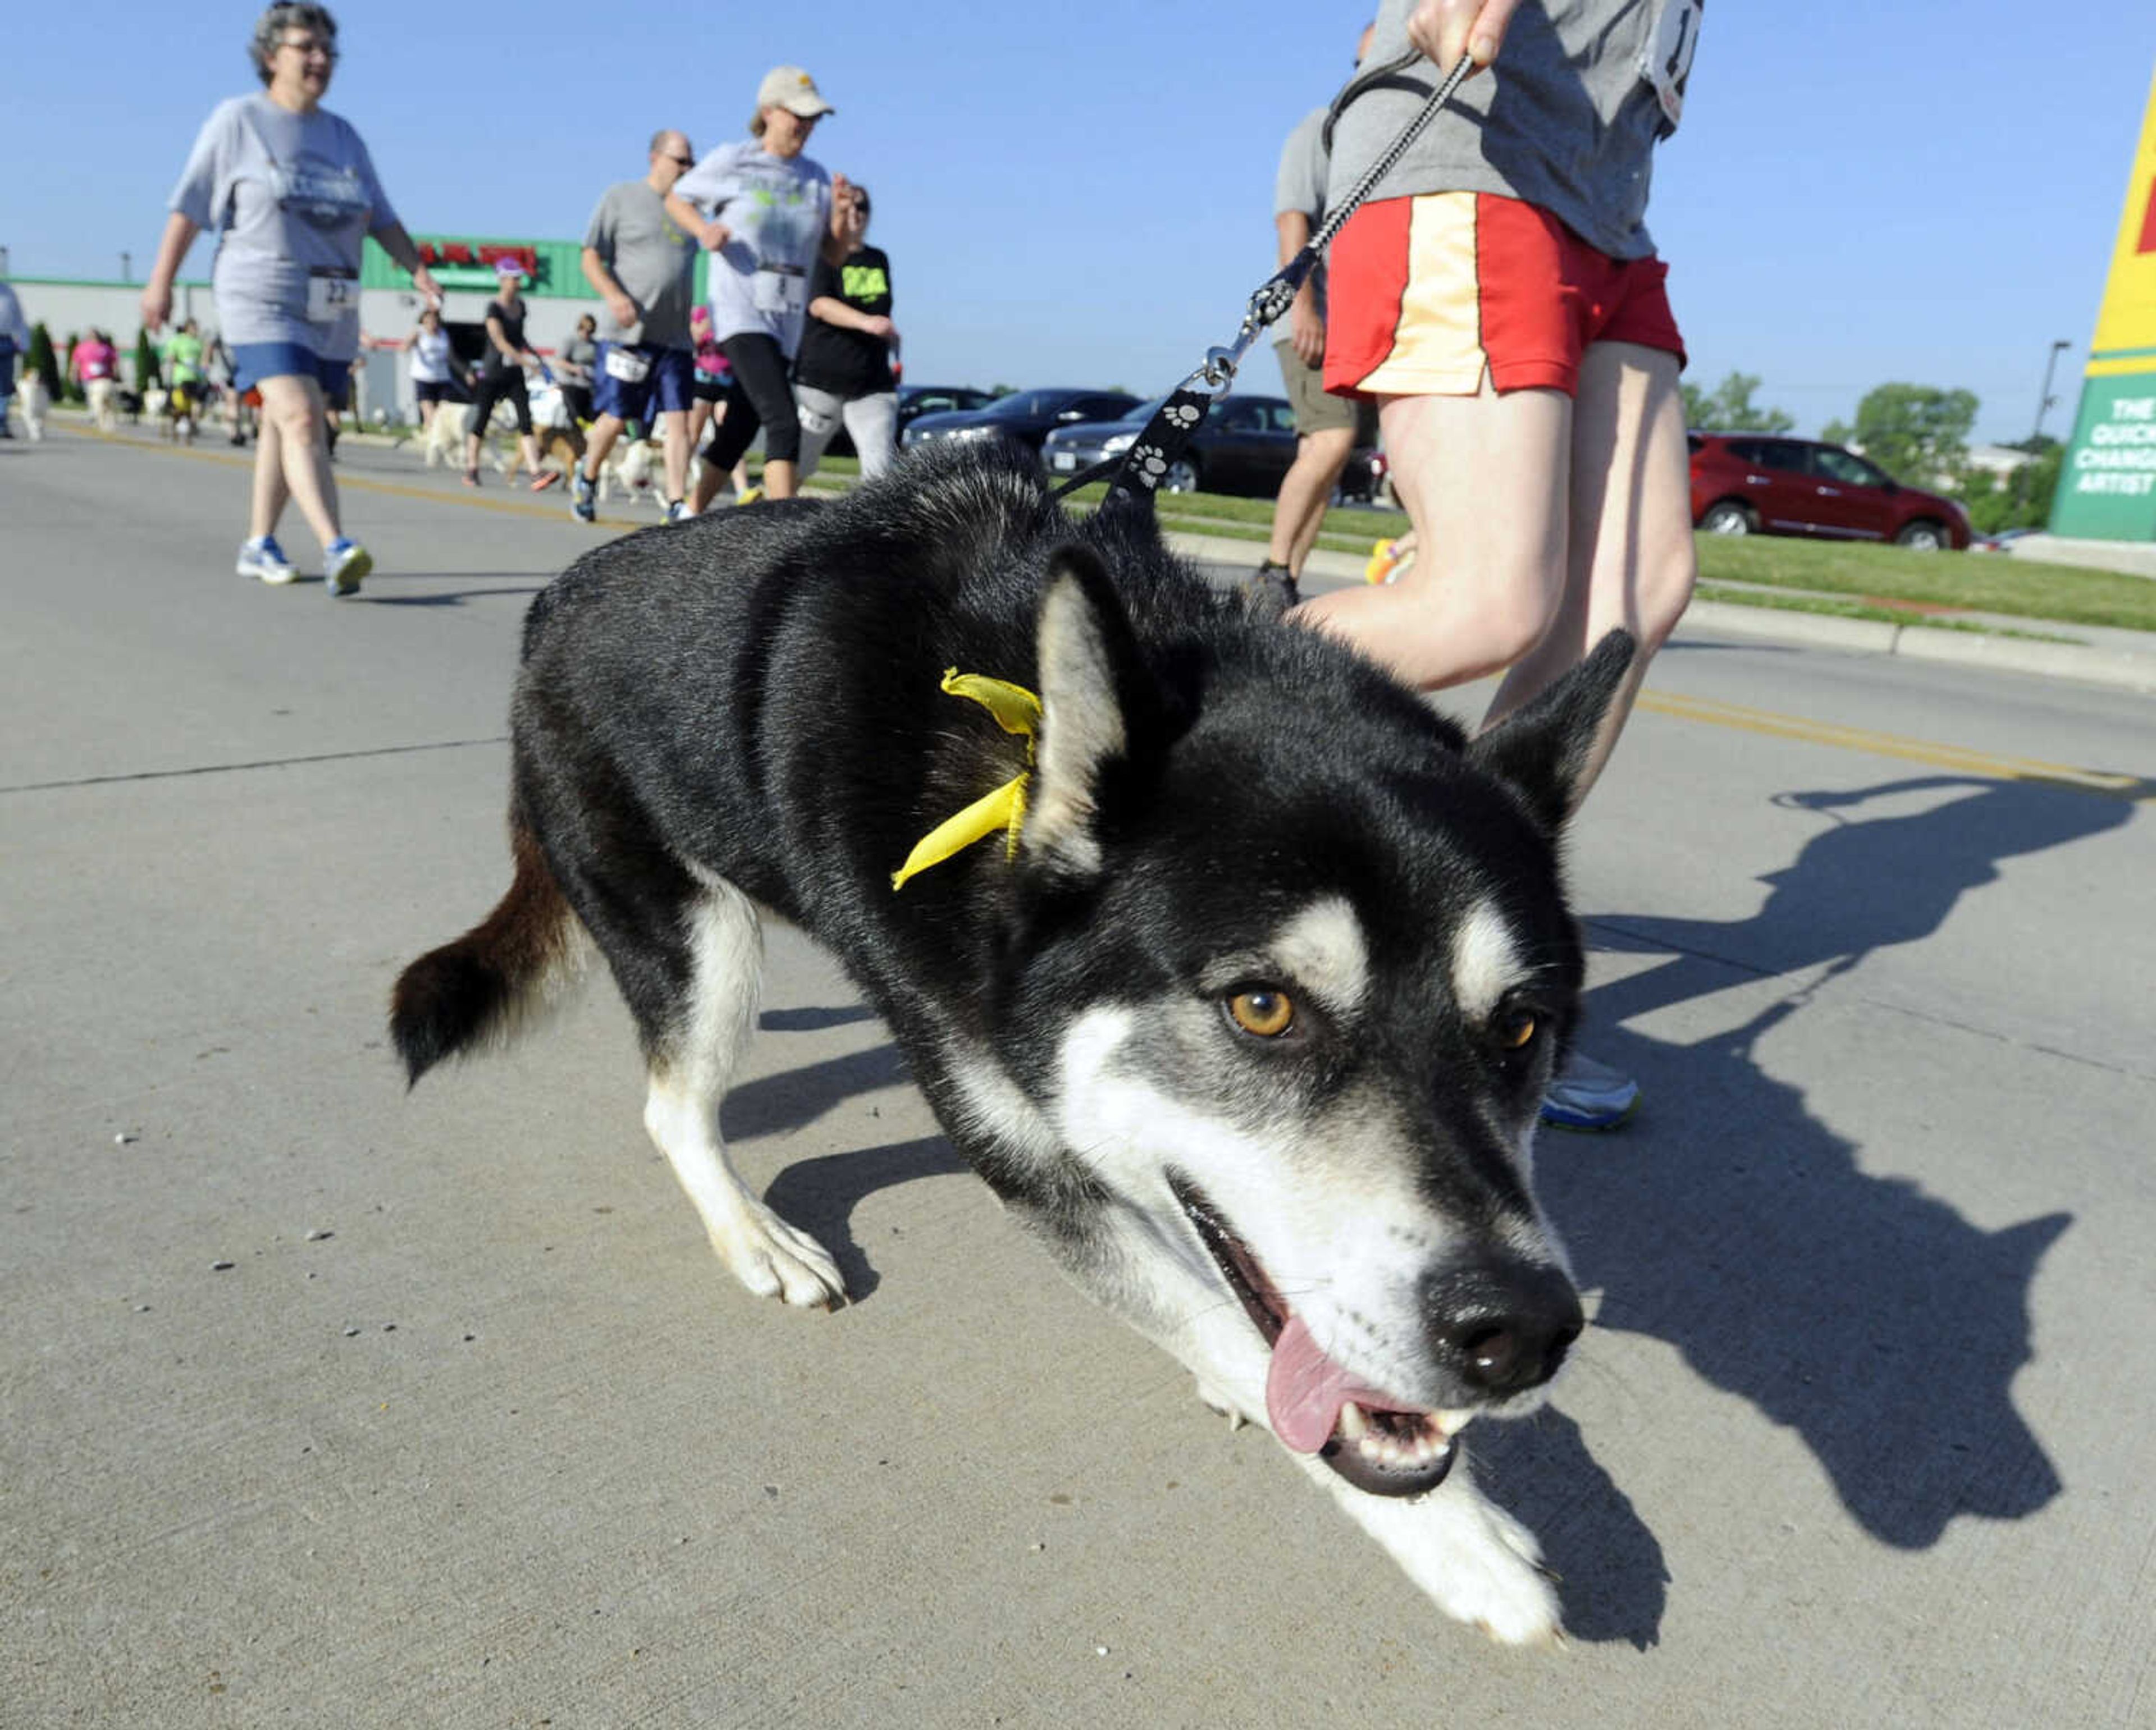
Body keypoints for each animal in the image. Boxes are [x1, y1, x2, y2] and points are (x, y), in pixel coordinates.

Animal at [392, 439, 1630, 1646]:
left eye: (1522, 1026)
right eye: (1263, 1008)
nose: (1523, 1332)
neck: (1013, 764)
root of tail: (556, 598)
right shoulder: (1020, 1144)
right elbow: (1208, 1318)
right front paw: (1459, 1542)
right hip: (703, 936)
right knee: (671, 1103)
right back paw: (752, 1234)